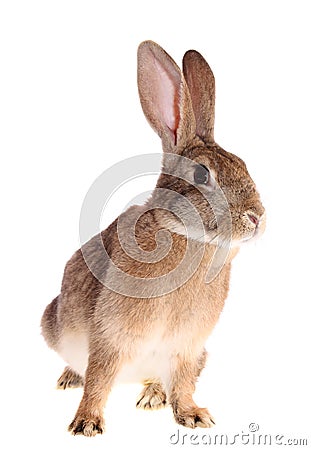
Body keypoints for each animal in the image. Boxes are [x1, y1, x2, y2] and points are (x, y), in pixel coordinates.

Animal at [40, 41, 266, 436]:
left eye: (242, 163)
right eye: (202, 175)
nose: (257, 216)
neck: (188, 238)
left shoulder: (188, 347)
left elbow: (184, 382)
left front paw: (193, 416)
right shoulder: (109, 337)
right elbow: (98, 379)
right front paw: (85, 424)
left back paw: (152, 395)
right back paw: (69, 379)